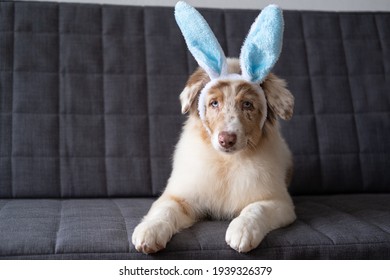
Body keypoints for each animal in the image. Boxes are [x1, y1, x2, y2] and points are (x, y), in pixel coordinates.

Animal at [131, 3, 296, 255]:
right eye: (214, 103)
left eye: (247, 104)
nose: (226, 139)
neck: (225, 163)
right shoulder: (180, 196)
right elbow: (163, 210)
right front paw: (149, 231)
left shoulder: (279, 202)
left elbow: (256, 209)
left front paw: (242, 231)